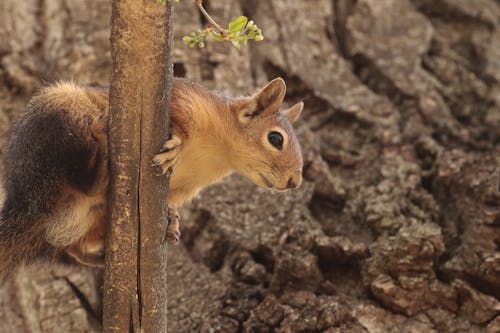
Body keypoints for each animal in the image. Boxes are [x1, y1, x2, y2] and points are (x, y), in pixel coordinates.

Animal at [0, 77, 302, 280]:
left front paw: (172, 219)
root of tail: (26, 205)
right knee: (82, 177)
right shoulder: (184, 97)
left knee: (73, 247)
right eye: (276, 139)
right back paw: (102, 153)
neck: (218, 154)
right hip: (62, 114)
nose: (295, 182)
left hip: (86, 222)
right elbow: (178, 120)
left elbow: (172, 201)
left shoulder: (186, 187)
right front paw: (176, 146)